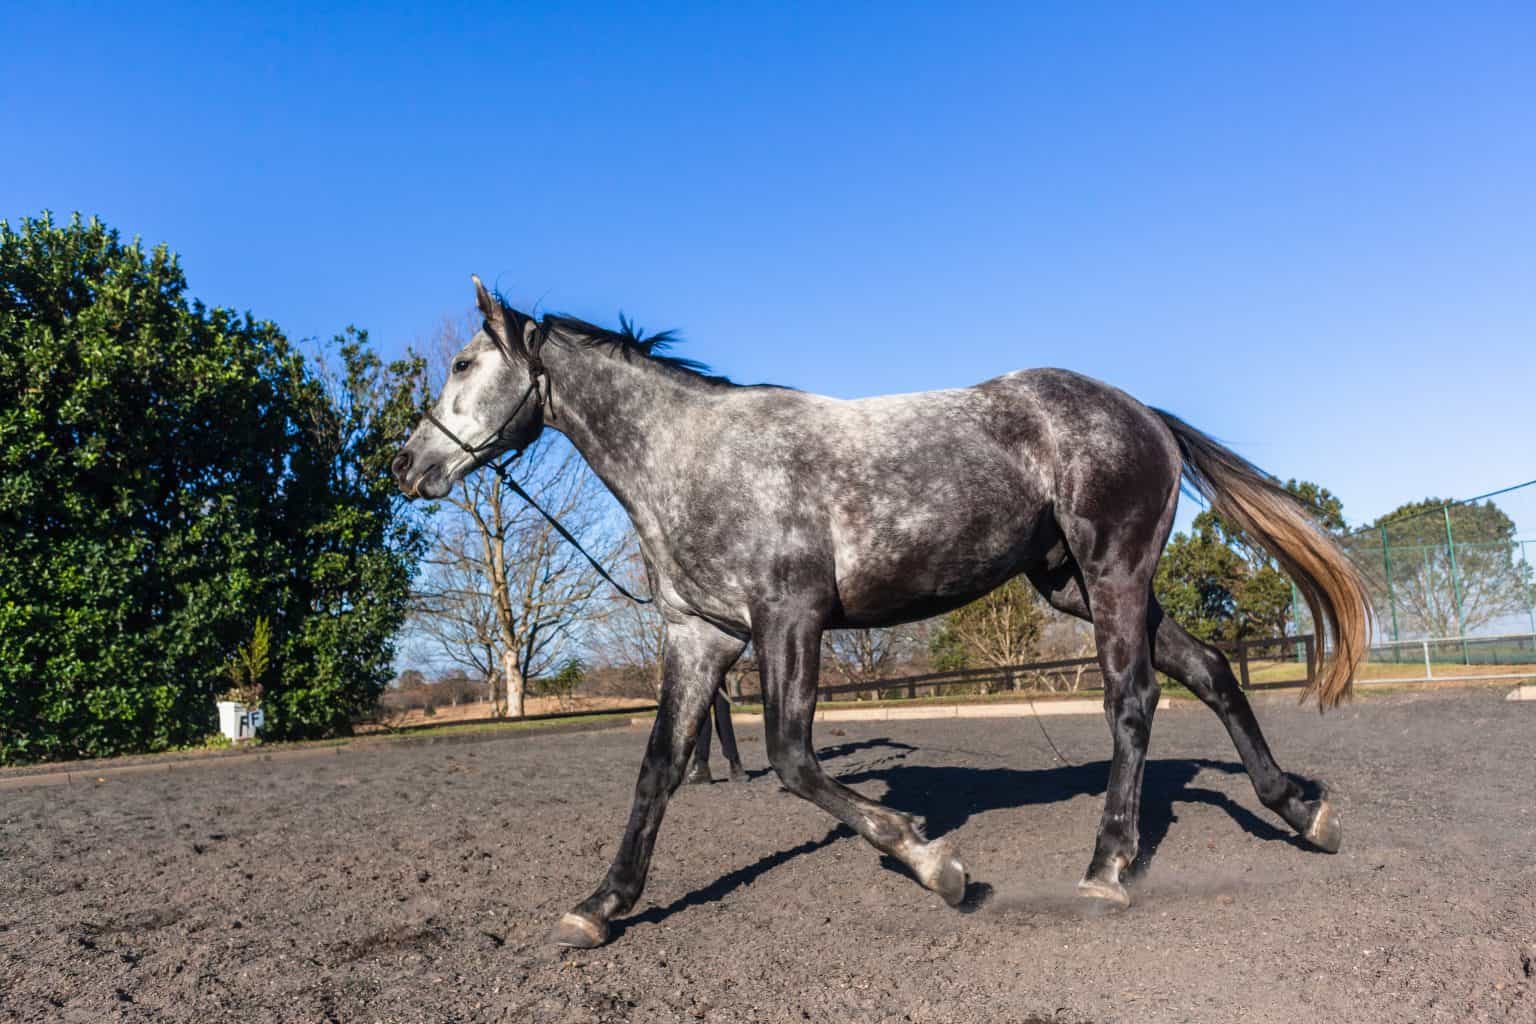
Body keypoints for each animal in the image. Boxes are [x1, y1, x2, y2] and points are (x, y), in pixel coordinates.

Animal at [392, 278, 1371, 949]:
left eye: (464, 364)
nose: (408, 466)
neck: (696, 461)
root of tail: (1144, 415)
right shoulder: (700, 637)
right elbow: (659, 769)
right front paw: (600, 908)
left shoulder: (789, 620)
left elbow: (795, 761)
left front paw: (936, 862)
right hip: (1074, 584)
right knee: (1210, 670)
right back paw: (1299, 811)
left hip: (1113, 573)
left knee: (1132, 704)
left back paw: (1107, 867)